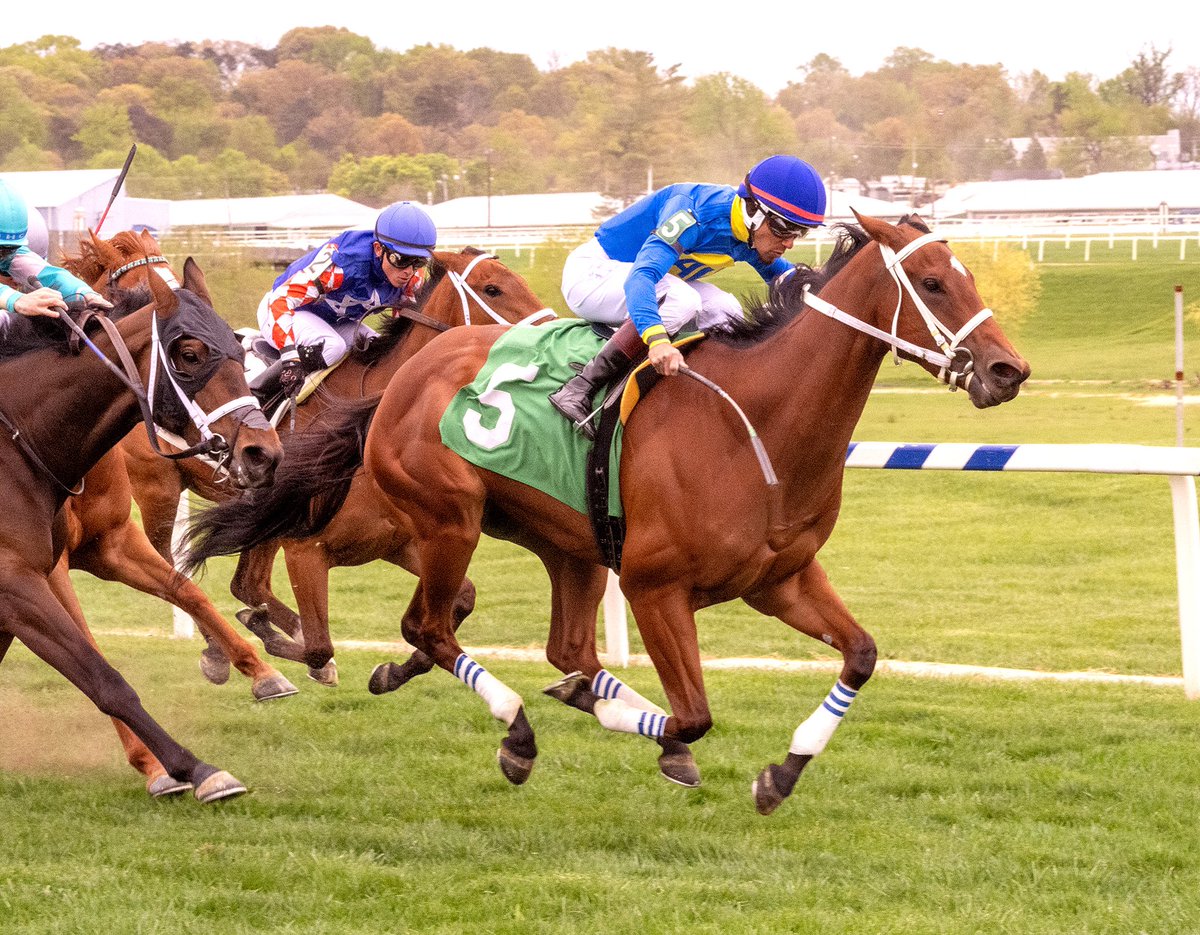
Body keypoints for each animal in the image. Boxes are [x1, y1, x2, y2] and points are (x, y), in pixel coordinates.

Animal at [0, 259, 283, 801]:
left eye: (240, 350)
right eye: (189, 354)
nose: (264, 453)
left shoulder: (104, 546)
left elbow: (187, 591)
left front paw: (261, 671)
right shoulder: (18, 581)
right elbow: (100, 672)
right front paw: (193, 768)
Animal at [132, 248, 556, 686]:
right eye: (493, 288)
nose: (552, 336)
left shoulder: (395, 541)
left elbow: (461, 600)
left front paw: (392, 671)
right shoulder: (304, 545)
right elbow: (320, 647)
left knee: (246, 585)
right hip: (160, 491)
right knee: (174, 569)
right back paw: (218, 649)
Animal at [180, 213, 1032, 811]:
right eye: (932, 282)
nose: (1007, 369)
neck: (757, 421)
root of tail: (395, 386)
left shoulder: (780, 577)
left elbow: (860, 654)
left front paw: (780, 774)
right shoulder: (657, 588)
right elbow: (693, 715)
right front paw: (653, 738)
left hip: (569, 545)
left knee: (557, 645)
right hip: (451, 519)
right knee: (427, 624)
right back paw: (514, 728)